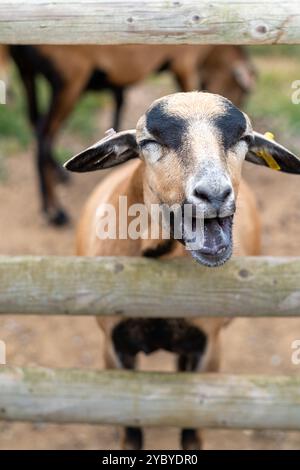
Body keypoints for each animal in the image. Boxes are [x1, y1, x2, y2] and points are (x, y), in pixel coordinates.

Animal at [65, 91, 300, 448]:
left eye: (244, 138)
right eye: (148, 141)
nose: (214, 194)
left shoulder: (208, 348)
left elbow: (192, 431)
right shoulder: (113, 347)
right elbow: (131, 432)